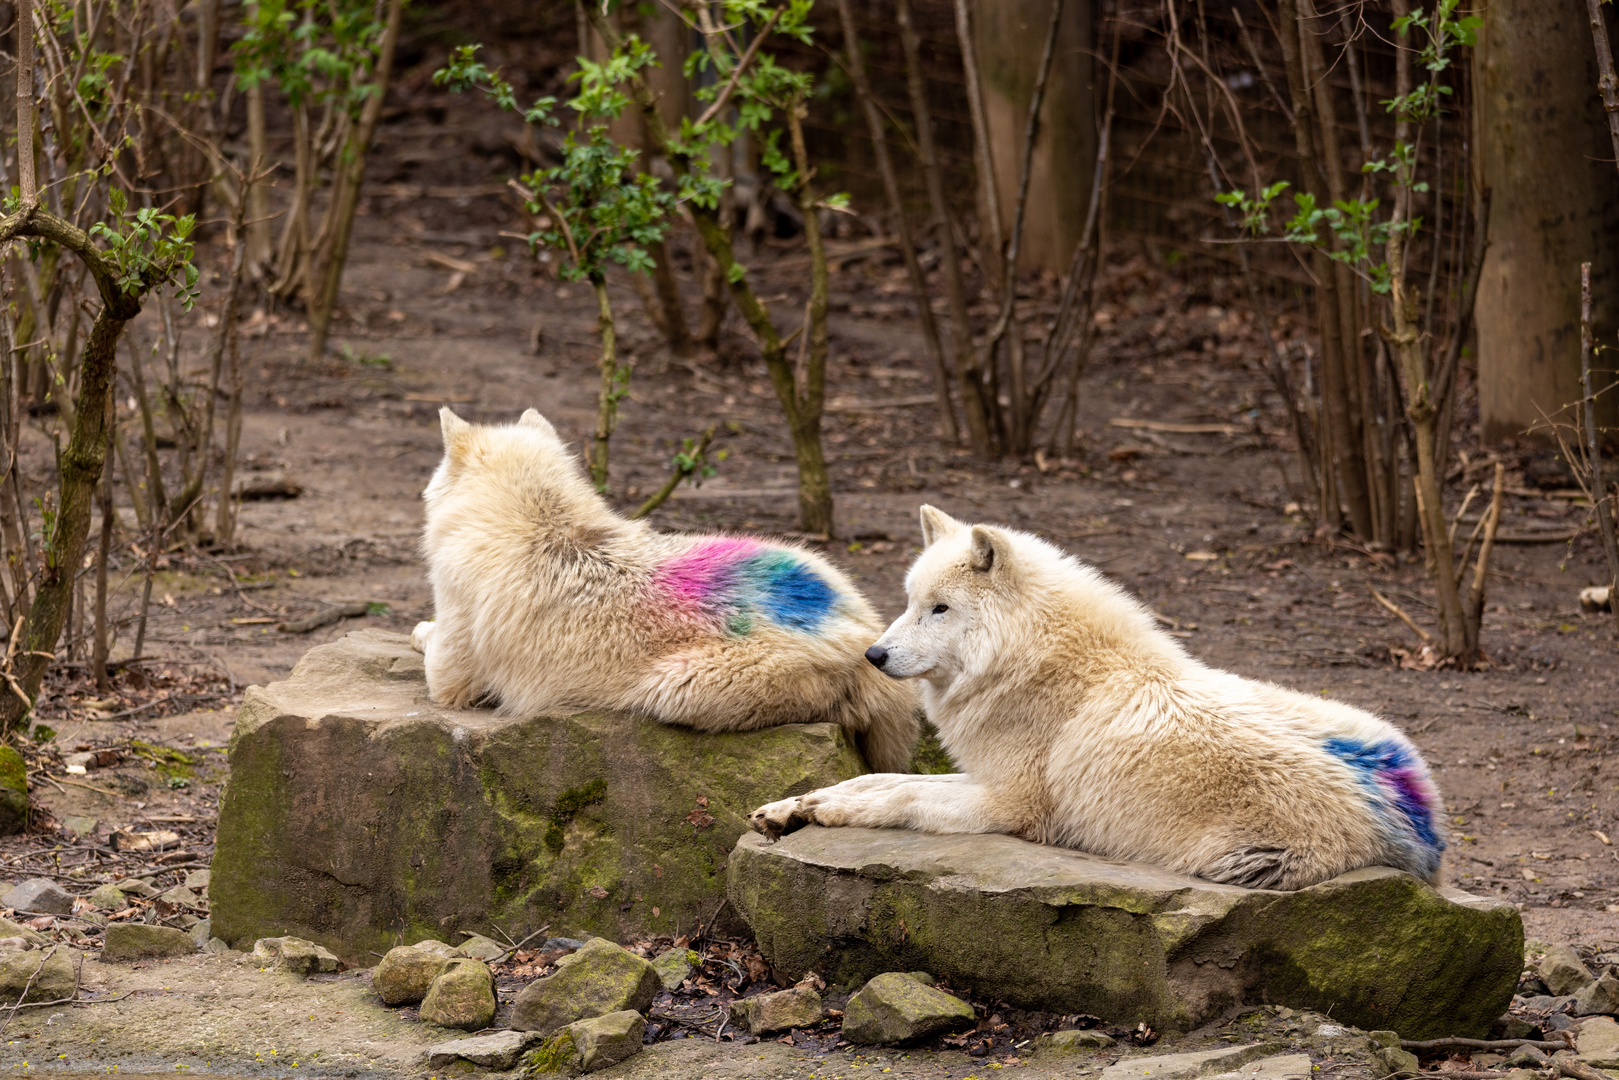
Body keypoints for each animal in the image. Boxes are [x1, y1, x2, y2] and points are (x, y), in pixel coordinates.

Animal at [411, 409, 919, 773]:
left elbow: (431, 645)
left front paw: (417, 631)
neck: (542, 519)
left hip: (675, 687)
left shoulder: (452, 677)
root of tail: (860, 635)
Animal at [751, 505, 1450, 887]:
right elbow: (871, 780)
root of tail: (1419, 829)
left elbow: (899, 794)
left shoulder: (1009, 806)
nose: (874, 655)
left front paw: (827, 813)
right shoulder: (983, 777)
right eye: (907, 602)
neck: (1035, 662)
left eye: (939, 608)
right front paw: (791, 808)